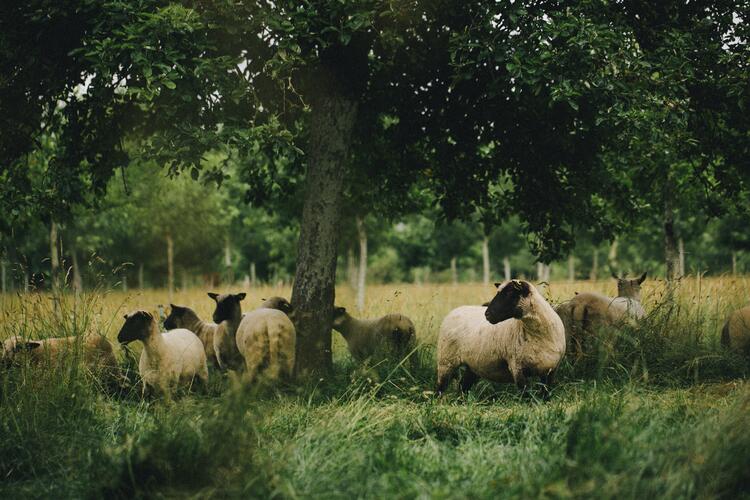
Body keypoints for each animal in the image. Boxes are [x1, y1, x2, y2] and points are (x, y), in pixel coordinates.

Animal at [438, 280, 568, 396]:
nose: (487, 315)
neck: (538, 335)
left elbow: (546, 392)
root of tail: (455, 310)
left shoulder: (551, 369)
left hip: (473, 365)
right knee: (441, 387)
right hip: (446, 360)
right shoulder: (516, 367)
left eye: (509, 293)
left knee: (463, 386)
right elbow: (525, 392)